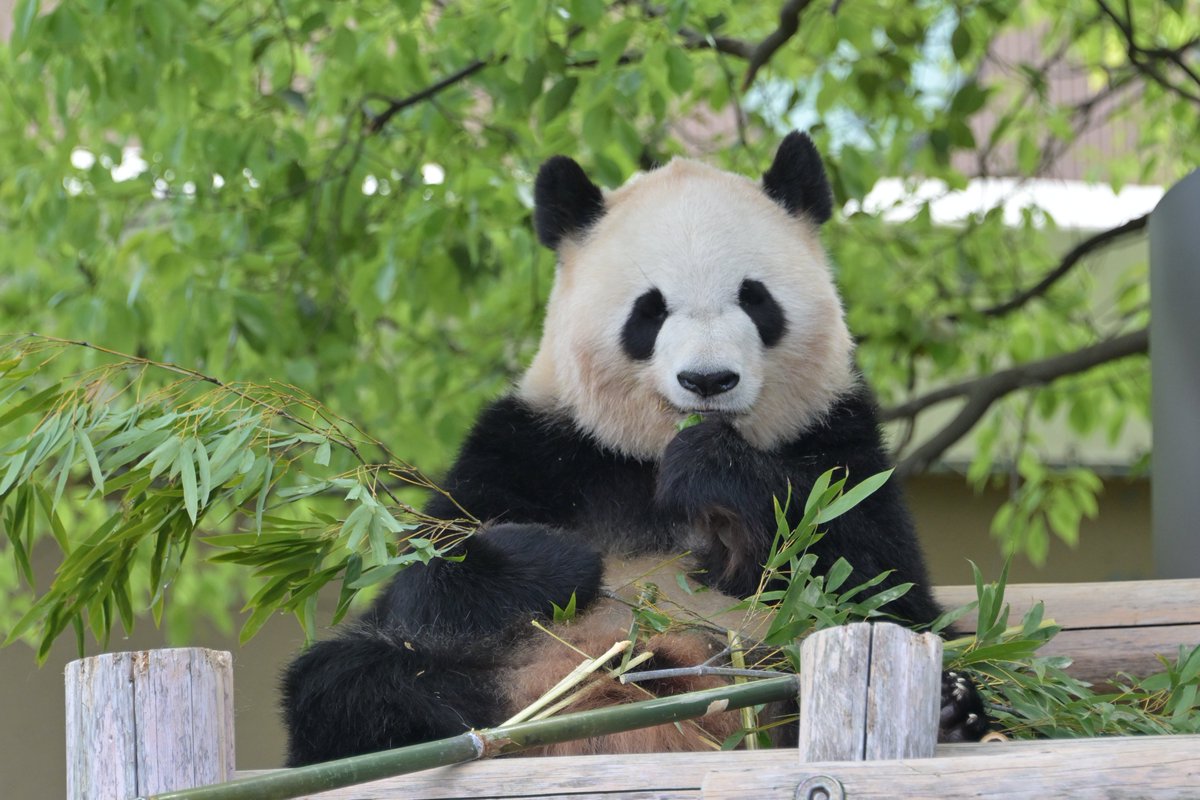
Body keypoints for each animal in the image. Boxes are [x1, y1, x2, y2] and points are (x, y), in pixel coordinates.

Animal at [280, 133, 984, 767]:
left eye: (755, 299)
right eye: (649, 311)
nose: (708, 380)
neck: (648, 459)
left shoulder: (839, 440)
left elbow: (880, 585)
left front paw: (713, 472)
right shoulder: (534, 448)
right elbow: (418, 579)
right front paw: (558, 560)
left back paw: (954, 709)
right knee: (350, 679)